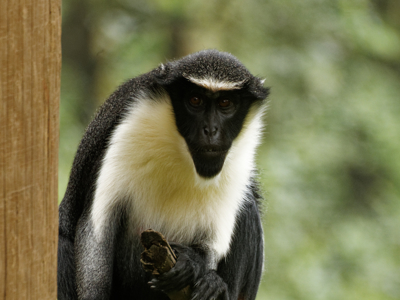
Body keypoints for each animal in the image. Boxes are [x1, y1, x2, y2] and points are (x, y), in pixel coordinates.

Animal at [57, 49, 270, 300]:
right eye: (195, 100)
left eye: (225, 102)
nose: (211, 130)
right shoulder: (127, 125)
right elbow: (96, 229)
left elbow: (214, 237)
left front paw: (193, 263)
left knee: (248, 207)